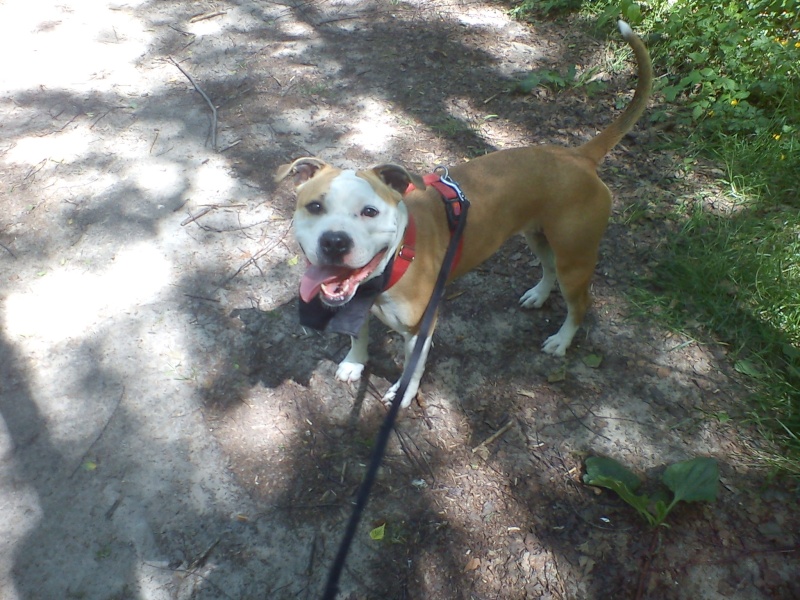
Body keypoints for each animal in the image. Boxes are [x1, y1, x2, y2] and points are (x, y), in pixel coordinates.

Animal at [276, 21, 648, 410]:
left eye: (370, 211)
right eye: (315, 206)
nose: (334, 242)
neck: (394, 260)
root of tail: (579, 156)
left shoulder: (420, 330)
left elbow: (412, 368)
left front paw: (401, 394)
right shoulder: (354, 303)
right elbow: (357, 335)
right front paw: (353, 363)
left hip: (575, 257)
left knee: (579, 304)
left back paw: (561, 340)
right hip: (538, 235)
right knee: (547, 268)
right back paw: (538, 295)